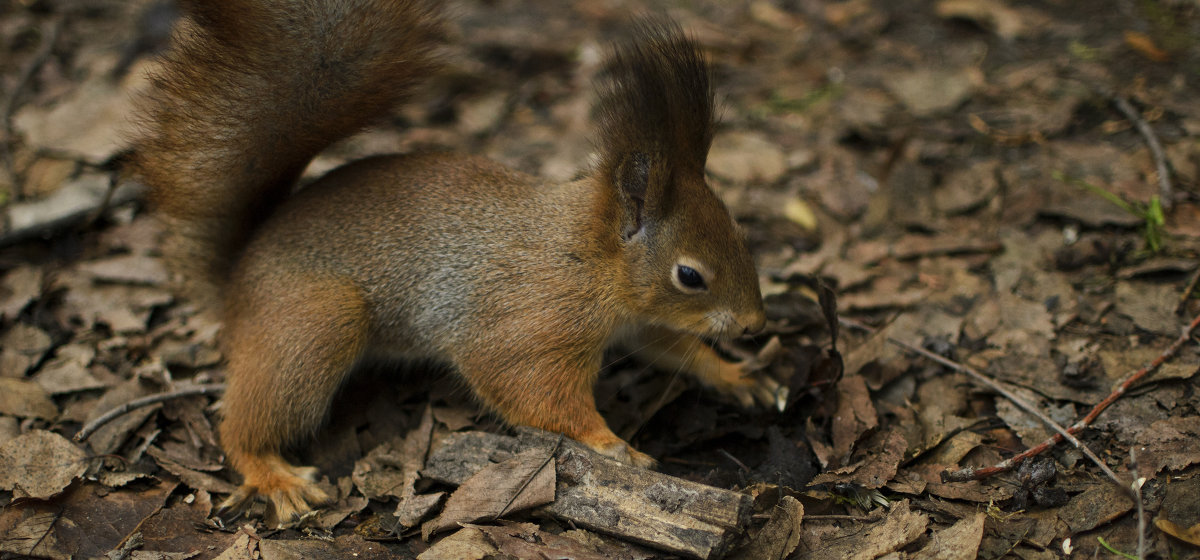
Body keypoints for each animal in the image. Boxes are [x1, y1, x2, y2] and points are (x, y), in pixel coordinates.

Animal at [131, 1, 782, 525]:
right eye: (690, 276)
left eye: (740, 231)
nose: (755, 325)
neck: (589, 259)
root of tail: (237, 273)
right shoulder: (532, 320)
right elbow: (528, 386)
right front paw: (609, 443)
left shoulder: (638, 320)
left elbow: (671, 346)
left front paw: (735, 375)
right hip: (315, 322)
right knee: (239, 422)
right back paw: (272, 473)